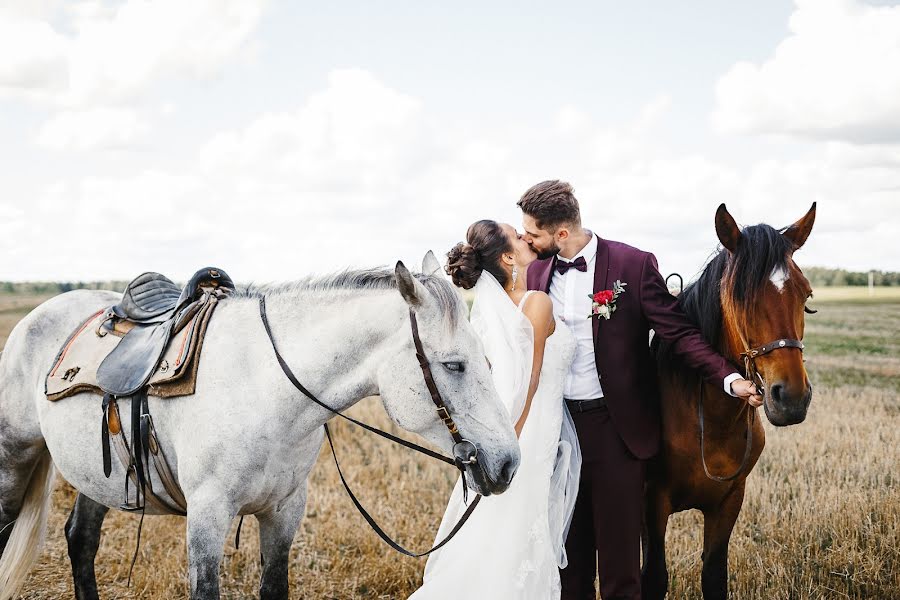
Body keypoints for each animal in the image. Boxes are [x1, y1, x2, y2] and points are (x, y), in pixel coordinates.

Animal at [0, 258, 520, 600]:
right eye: (453, 365)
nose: (508, 463)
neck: (264, 386)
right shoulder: (207, 517)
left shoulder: (284, 512)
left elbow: (274, 586)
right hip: (13, 460)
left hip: (100, 475)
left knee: (81, 542)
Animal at [640, 203, 816, 600]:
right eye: (740, 296)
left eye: (806, 296)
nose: (791, 398)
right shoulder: (651, 502)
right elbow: (653, 576)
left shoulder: (729, 501)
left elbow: (714, 575)